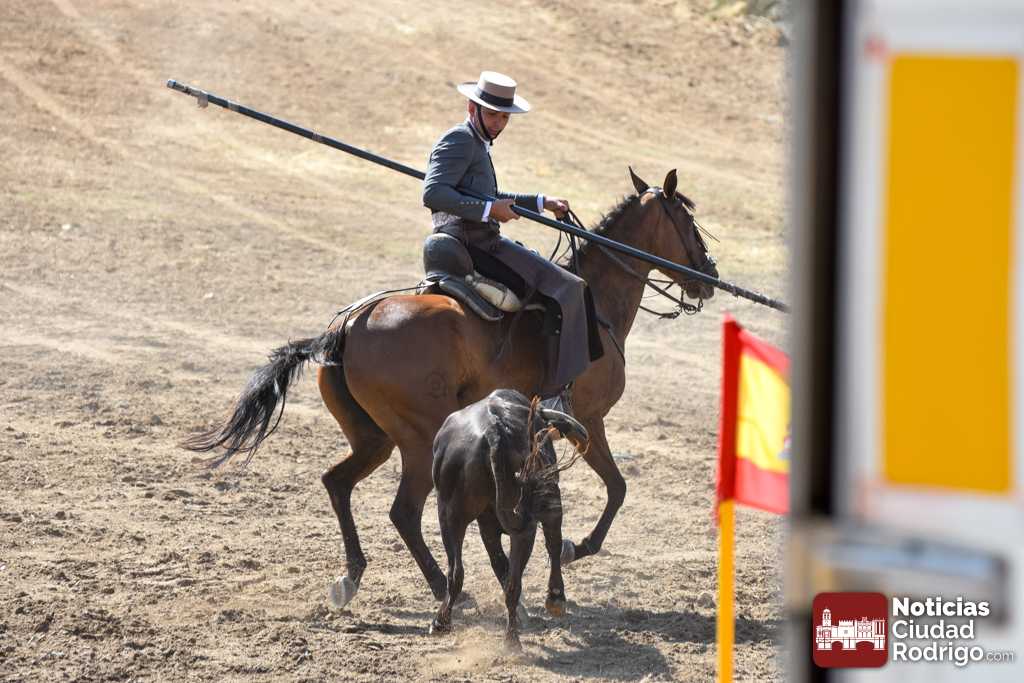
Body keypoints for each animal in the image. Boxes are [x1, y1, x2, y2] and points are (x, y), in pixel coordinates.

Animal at [184, 167, 718, 609]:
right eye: (689, 223)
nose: (709, 276)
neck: (595, 303)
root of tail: (348, 327)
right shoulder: (586, 420)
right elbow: (617, 488)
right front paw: (575, 548)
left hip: (375, 439)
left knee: (337, 483)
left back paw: (353, 577)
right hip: (419, 440)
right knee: (404, 511)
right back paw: (445, 589)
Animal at [430, 389, 588, 649]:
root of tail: (493, 434)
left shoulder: (487, 526)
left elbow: (500, 564)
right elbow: (550, 548)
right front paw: (555, 598)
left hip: (450, 517)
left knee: (458, 573)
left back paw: (442, 623)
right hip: (533, 516)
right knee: (517, 578)